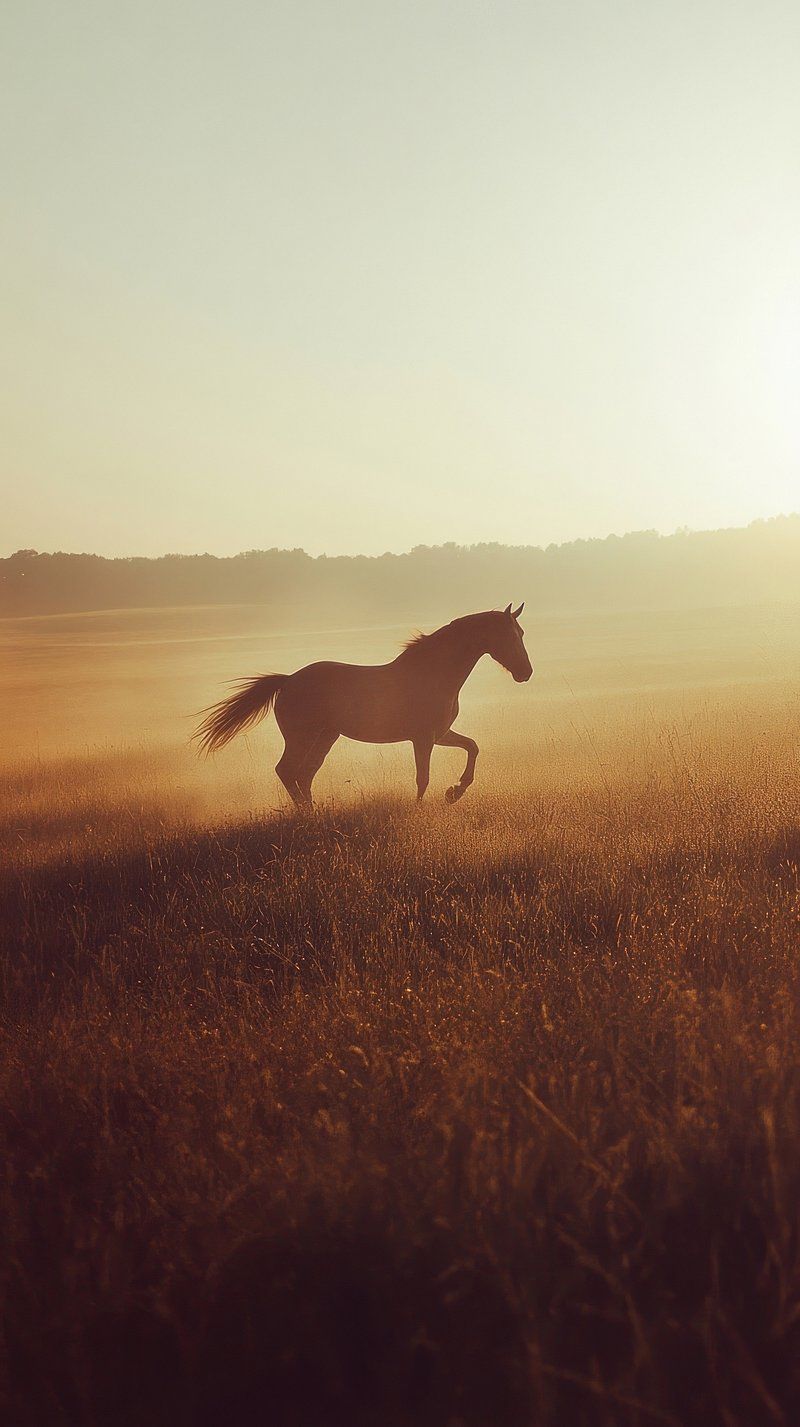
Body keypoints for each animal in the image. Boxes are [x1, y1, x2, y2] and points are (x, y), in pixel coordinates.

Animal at [194, 603, 532, 806]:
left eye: (521, 633)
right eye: (508, 635)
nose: (525, 673)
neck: (434, 673)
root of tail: (288, 680)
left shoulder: (439, 734)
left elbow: (472, 747)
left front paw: (455, 792)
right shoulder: (423, 739)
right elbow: (422, 778)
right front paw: (423, 808)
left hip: (325, 737)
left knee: (304, 774)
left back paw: (312, 814)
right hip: (302, 737)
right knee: (288, 771)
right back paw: (306, 816)